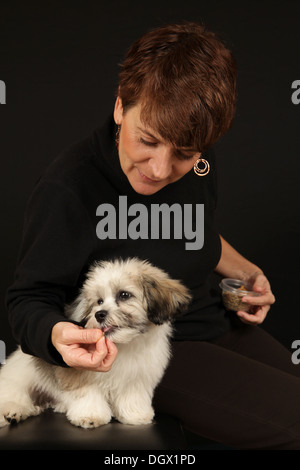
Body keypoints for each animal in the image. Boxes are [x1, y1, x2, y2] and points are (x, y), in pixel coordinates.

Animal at [0, 258, 191, 428]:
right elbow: (87, 392)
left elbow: (132, 394)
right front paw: (90, 415)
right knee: (14, 397)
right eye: (99, 301)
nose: (100, 314)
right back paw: (11, 412)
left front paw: (135, 414)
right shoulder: (80, 374)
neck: (125, 343)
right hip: (18, 380)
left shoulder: (136, 375)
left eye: (124, 295)